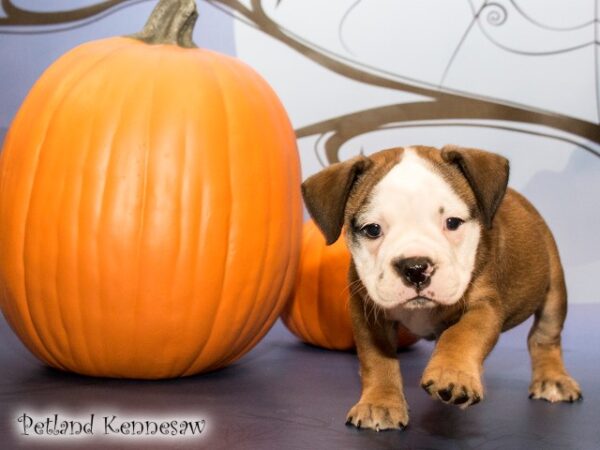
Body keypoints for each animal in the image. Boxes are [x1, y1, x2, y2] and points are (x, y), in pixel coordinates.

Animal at [300, 146, 580, 430]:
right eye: (372, 230)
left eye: (453, 222)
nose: (415, 268)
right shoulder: (367, 311)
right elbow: (376, 359)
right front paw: (380, 402)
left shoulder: (484, 307)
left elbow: (463, 334)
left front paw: (453, 375)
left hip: (553, 287)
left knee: (545, 335)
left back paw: (552, 379)